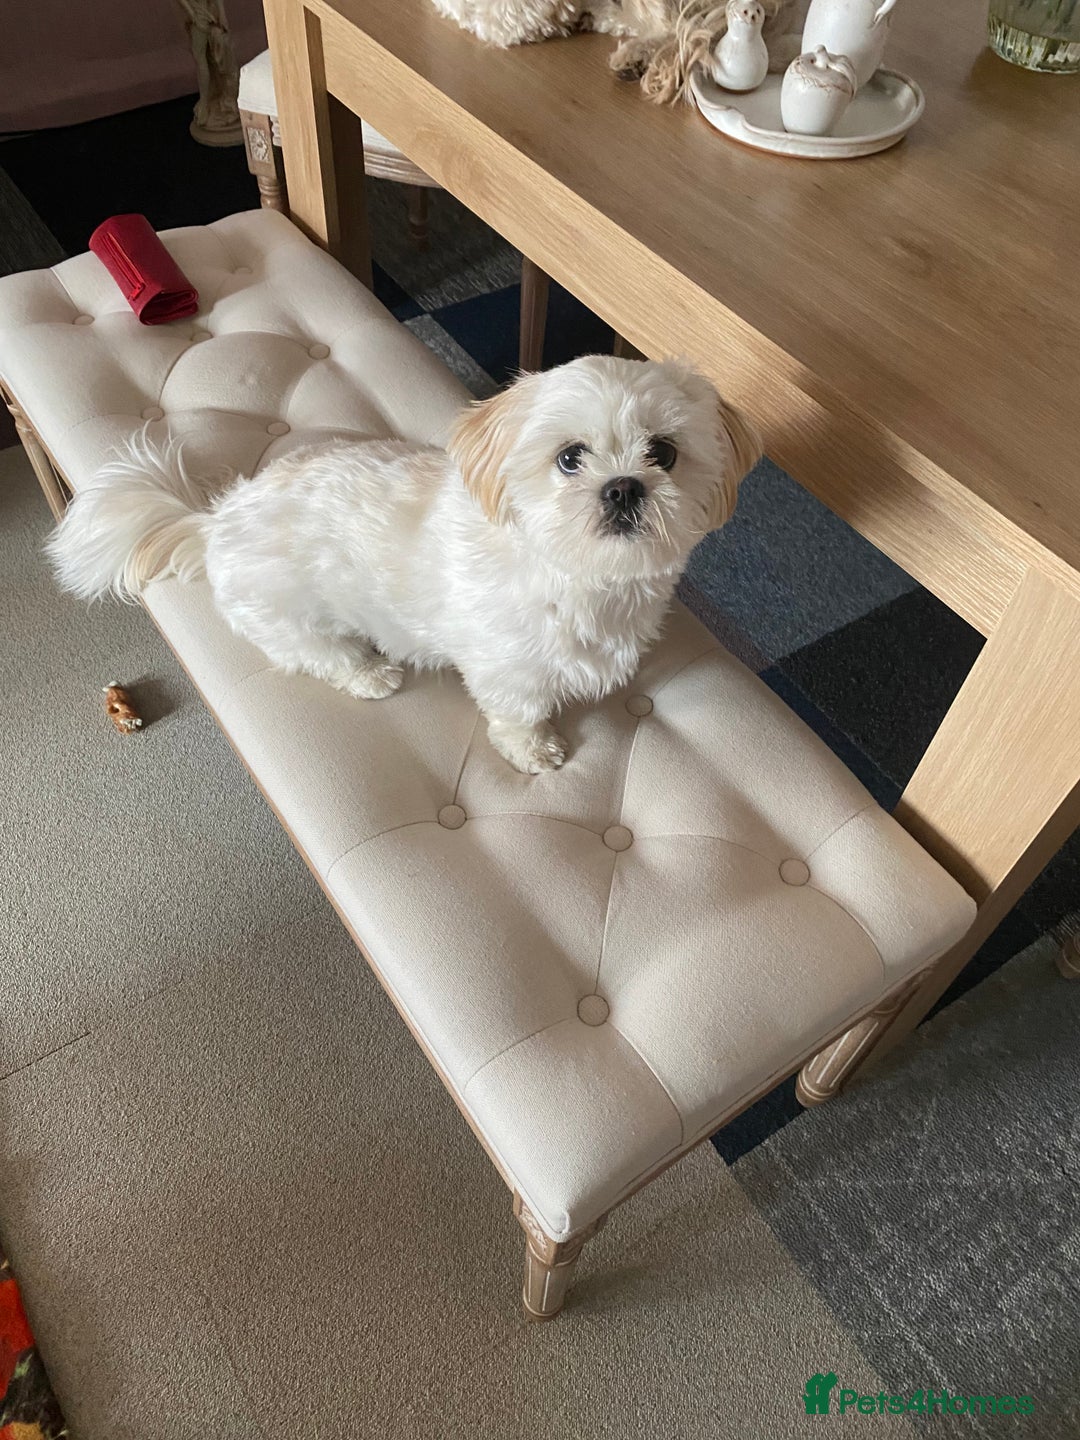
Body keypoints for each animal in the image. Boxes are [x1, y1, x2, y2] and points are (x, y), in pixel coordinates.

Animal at [49, 356, 760, 773]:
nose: (622, 488)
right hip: (292, 618)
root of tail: (217, 521)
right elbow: (520, 712)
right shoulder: (508, 668)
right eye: (569, 458)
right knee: (321, 654)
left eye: (664, 453)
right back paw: (370, 674)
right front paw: (536, 751)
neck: (581, 575)